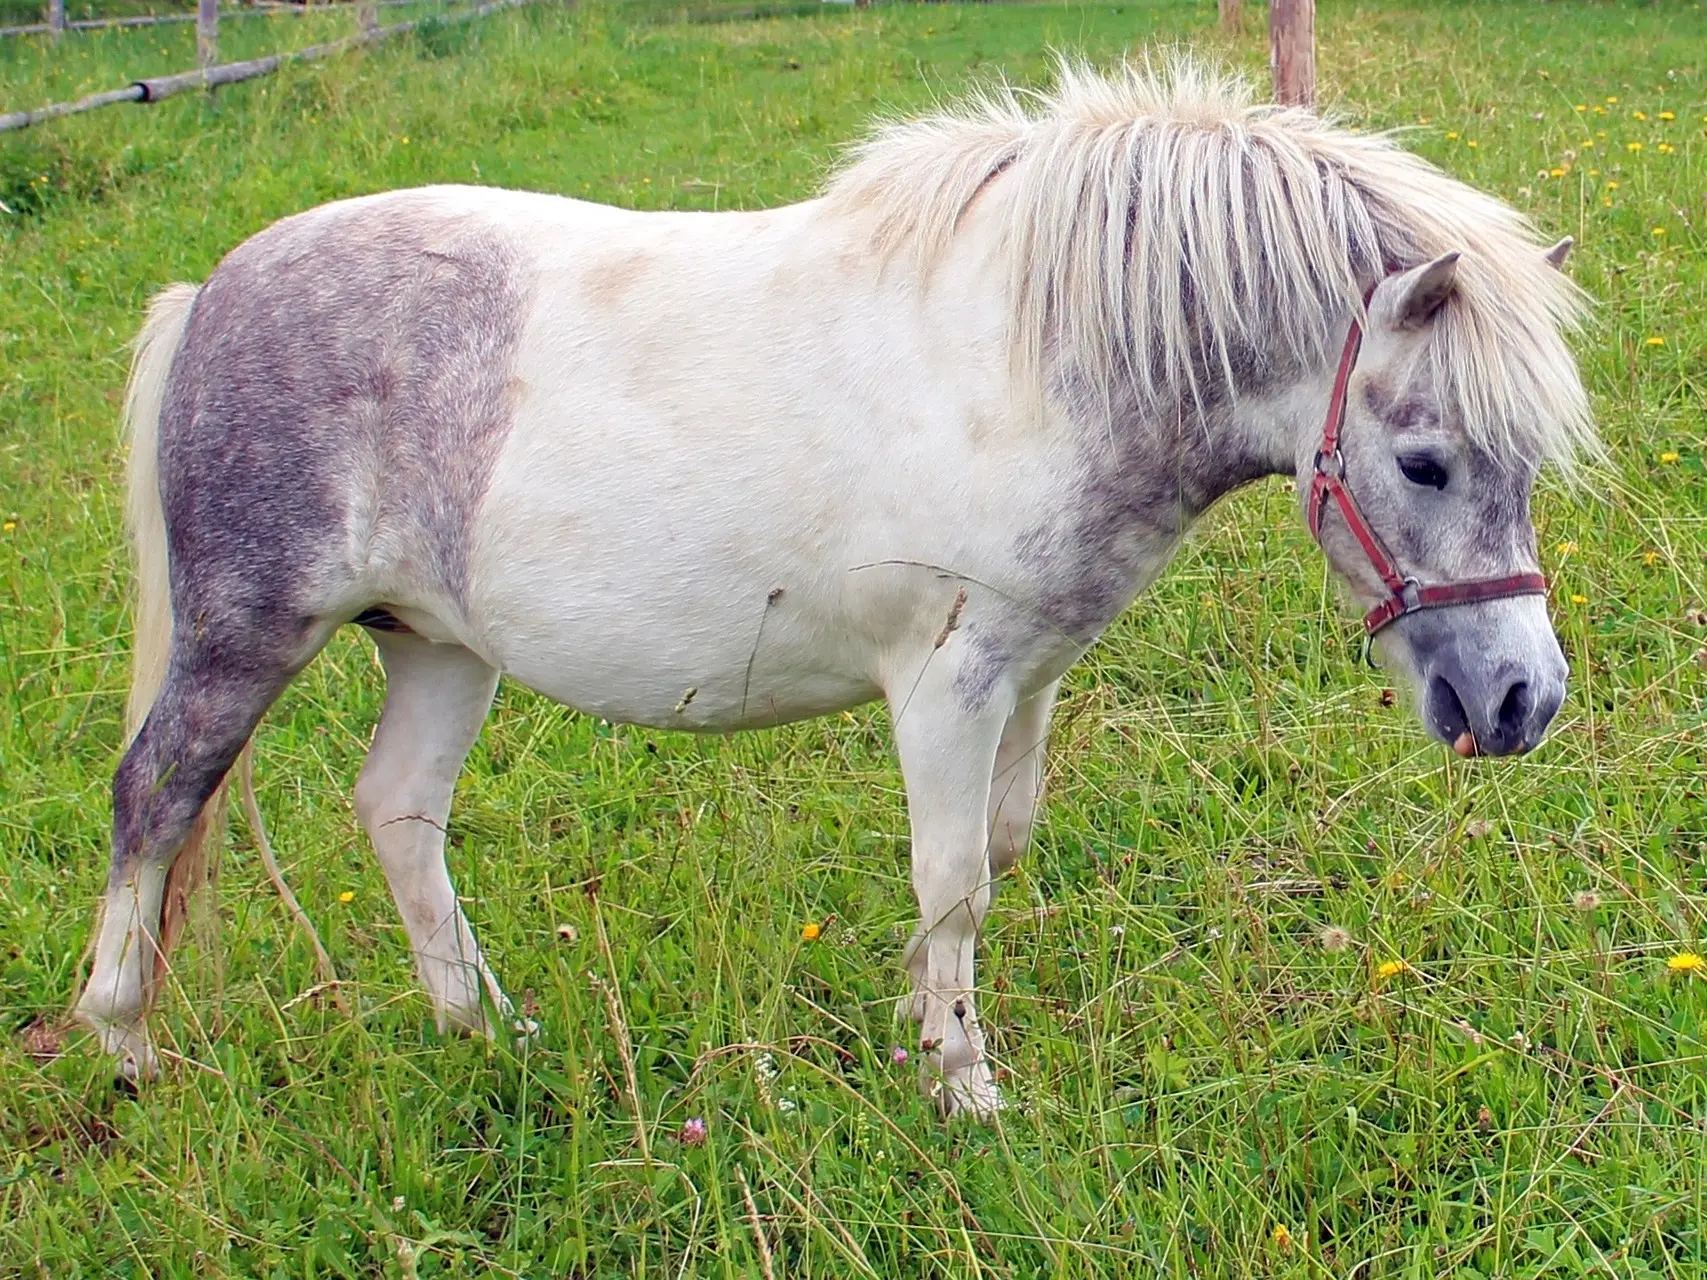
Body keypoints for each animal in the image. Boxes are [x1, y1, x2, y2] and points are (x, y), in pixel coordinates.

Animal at [73, 60, 1590, 1119]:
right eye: (1425, 459)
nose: (1522, 699)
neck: (1032, 360)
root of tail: (212, 290)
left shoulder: (1027, 677)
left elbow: (989, 857)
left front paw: (924, 1030)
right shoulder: (945, 683)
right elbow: (953, 881)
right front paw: (964, 1090)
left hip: (437, 644)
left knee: (397, 812)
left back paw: (484, 1030)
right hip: (247, 632)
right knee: (155, 796)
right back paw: (125, 1044)